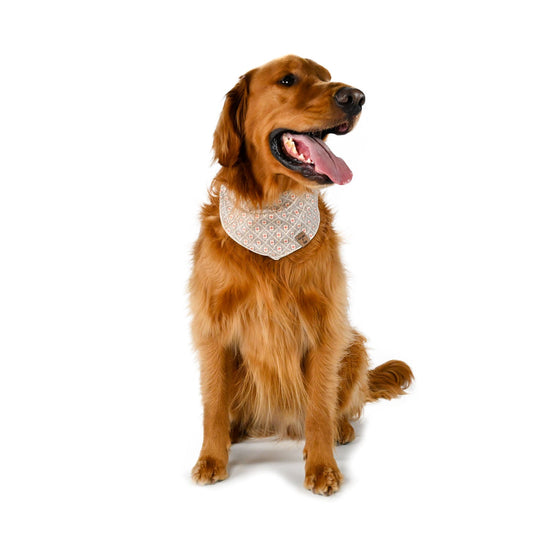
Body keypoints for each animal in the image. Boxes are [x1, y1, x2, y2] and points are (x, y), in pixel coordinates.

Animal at [191, 55, 414, 496]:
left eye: (326, 78)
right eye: (287, 80)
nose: (356, 96)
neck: (271, 210)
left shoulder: (326, 325)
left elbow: (319, 408)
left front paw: (323, 466)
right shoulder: (213, 325)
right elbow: (213, 403)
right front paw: (211, 458)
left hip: (353, 343)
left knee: (341, 406)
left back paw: (341, 429)